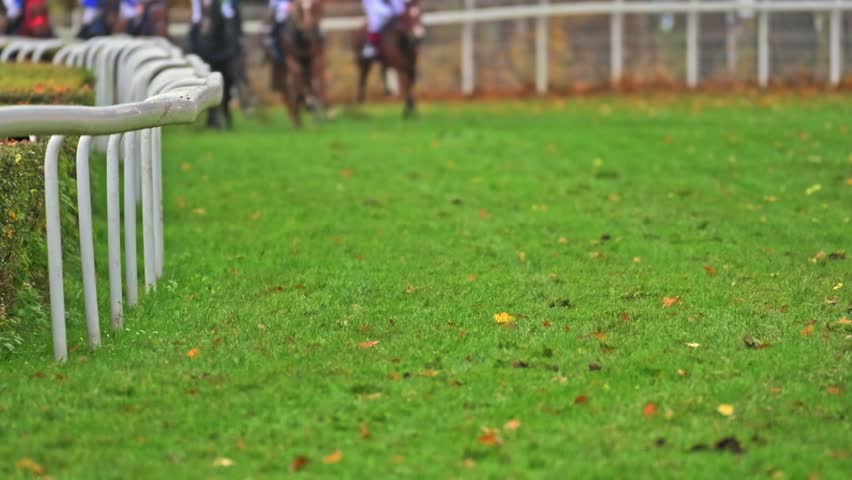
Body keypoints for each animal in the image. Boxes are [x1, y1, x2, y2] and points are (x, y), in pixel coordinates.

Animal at [189, 0, 241, 129]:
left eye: (214, 10)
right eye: (203, 10)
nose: (204, 29)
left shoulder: (227, 72)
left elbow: (225, 97)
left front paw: (226, 123)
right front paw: (216, 123)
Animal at [271, 0, 327, 129]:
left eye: (314, 8)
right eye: (299, 9)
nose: (307, 32)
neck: (302, 42)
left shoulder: (315, 58)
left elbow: (315, 80)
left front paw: (315, 105)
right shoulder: (291, 59)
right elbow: (297, 77)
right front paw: (308, 103)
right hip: (280, 69)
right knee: (287, 90)